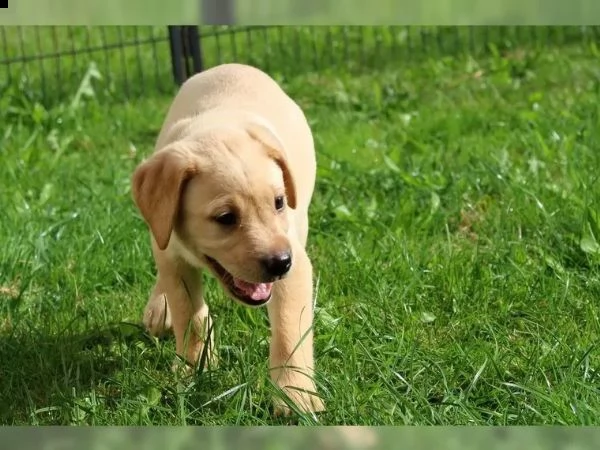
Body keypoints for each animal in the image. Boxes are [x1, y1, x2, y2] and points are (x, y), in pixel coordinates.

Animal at [131, 62, 324, 414]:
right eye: (225, 218)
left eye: (278, 202)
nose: (280, 263)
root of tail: (234, 66)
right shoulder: (173, 252)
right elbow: (189, 314)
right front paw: (193, 368)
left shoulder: (296, 265)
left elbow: (289, 329)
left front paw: (295, 395)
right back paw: (159, 307)